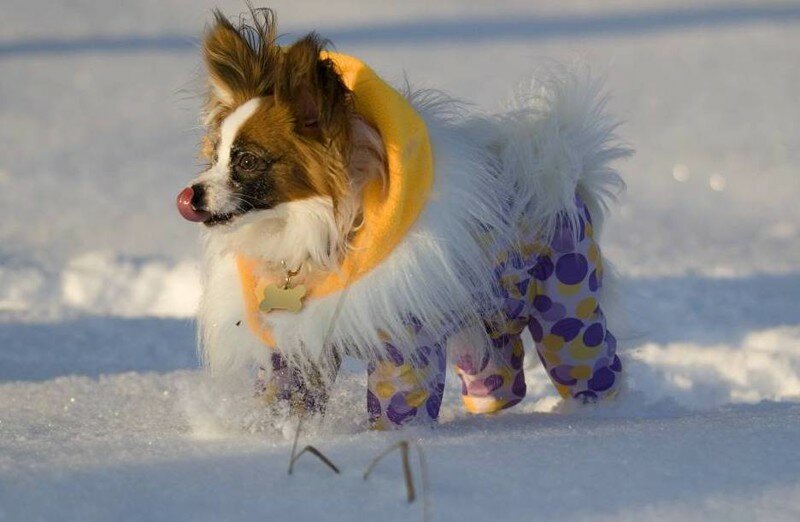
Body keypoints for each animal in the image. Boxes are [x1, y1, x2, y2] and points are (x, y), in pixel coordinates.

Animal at [177, 8, 632, 428]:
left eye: (247, 161)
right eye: (214, 157)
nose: (189, 195)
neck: (314, 232)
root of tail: (558, 172)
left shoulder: (405, 340)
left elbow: (399, 403)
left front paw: (393, 439)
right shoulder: (297, 342)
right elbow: (287, 393)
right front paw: (277, 432)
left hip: (565, 304)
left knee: (586, 359)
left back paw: (597, 414)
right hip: (489, 313)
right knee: (499, 370)